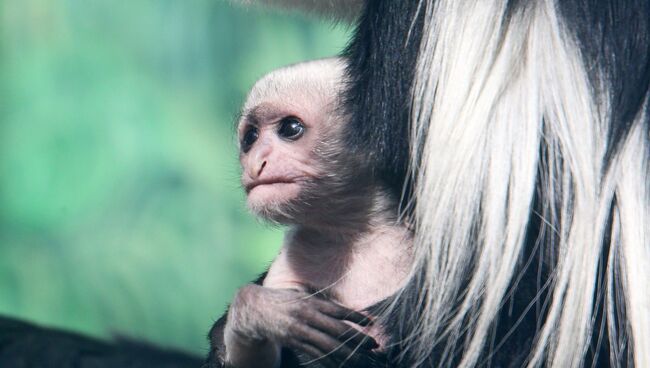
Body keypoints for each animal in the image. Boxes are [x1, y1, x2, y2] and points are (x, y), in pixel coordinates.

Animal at [209, 59, 410, 366]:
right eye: (251, 137)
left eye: (290, 128)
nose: (255, 163)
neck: (357, 230)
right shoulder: (297, 247)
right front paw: (266, 310)